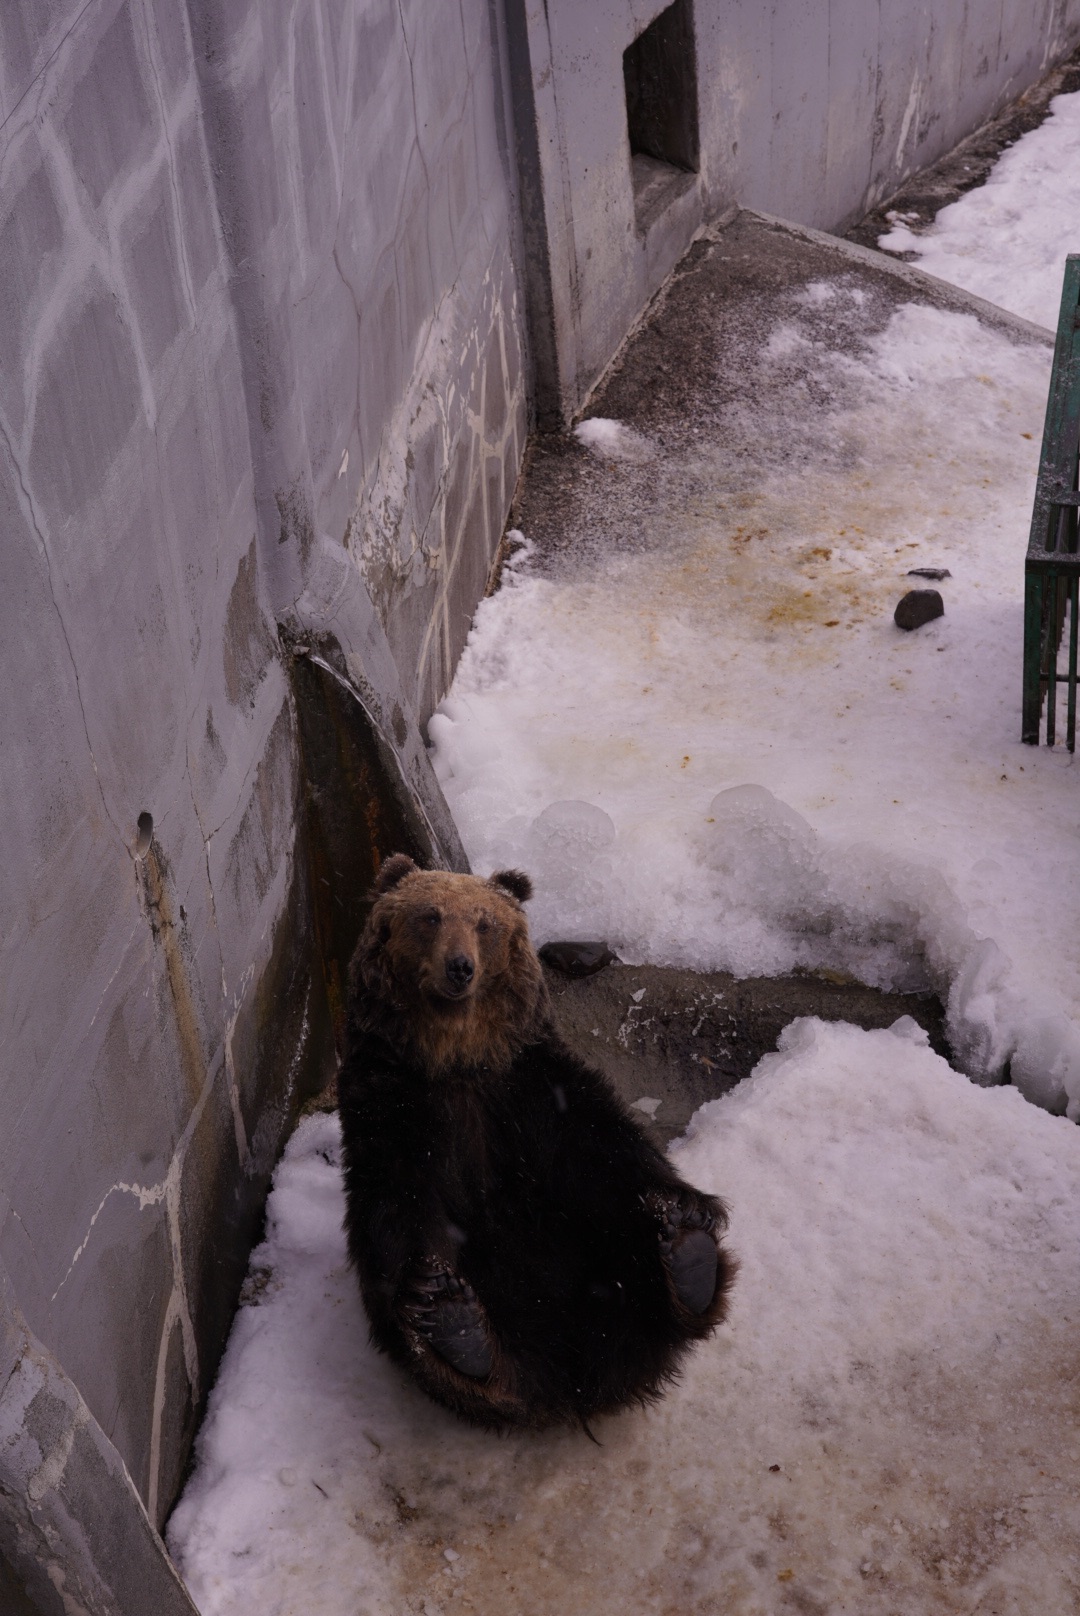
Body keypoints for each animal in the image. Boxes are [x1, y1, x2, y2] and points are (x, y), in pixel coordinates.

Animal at [341, 853, 737, 1435]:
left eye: (485, 923)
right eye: (430, 916)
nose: (460, 967)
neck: (454, 1058)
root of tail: (572, 1379)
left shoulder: (535, 1086)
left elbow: (610, 1147)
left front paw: (688, 1212)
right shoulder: (391, 1102)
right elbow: (396, 1203)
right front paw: (436, 1296)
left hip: (599, 1269)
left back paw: (690, 1261)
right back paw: (461, 1334)